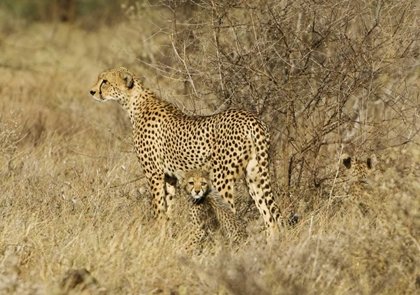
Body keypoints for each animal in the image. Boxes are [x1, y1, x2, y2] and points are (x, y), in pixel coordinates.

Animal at [90, 66, 282, 236]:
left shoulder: (154, 173)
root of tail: (253, 119)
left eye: (105, 81)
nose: (92, 92)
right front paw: (165, 235)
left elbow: (158, 208)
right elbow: (168, 210)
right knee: (271, 220)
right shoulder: (170, 177)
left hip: (221, 178)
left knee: (232, 212)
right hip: (254, 175)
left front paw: (156, 234)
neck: (134, 103)